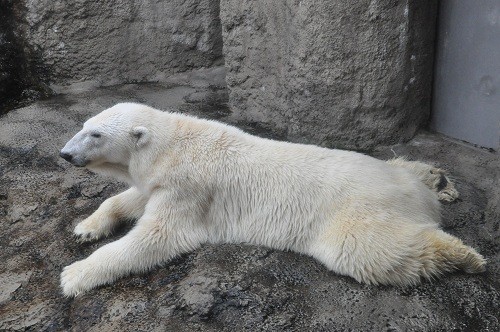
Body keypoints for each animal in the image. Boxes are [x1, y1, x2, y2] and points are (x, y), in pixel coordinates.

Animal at [58, 103, 484, 296]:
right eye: (84, 126)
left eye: (95, 134)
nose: (64, 154)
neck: (173, 145)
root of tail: (415, 198)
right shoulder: (163, 184)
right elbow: (132, 199)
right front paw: (86, 228)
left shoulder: (189, 188)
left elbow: (157, 236)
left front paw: (75, 274)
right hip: (391, 177)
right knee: (402, 168)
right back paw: (439, 180)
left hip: (355, 210)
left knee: (368, 250)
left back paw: (467, 256)